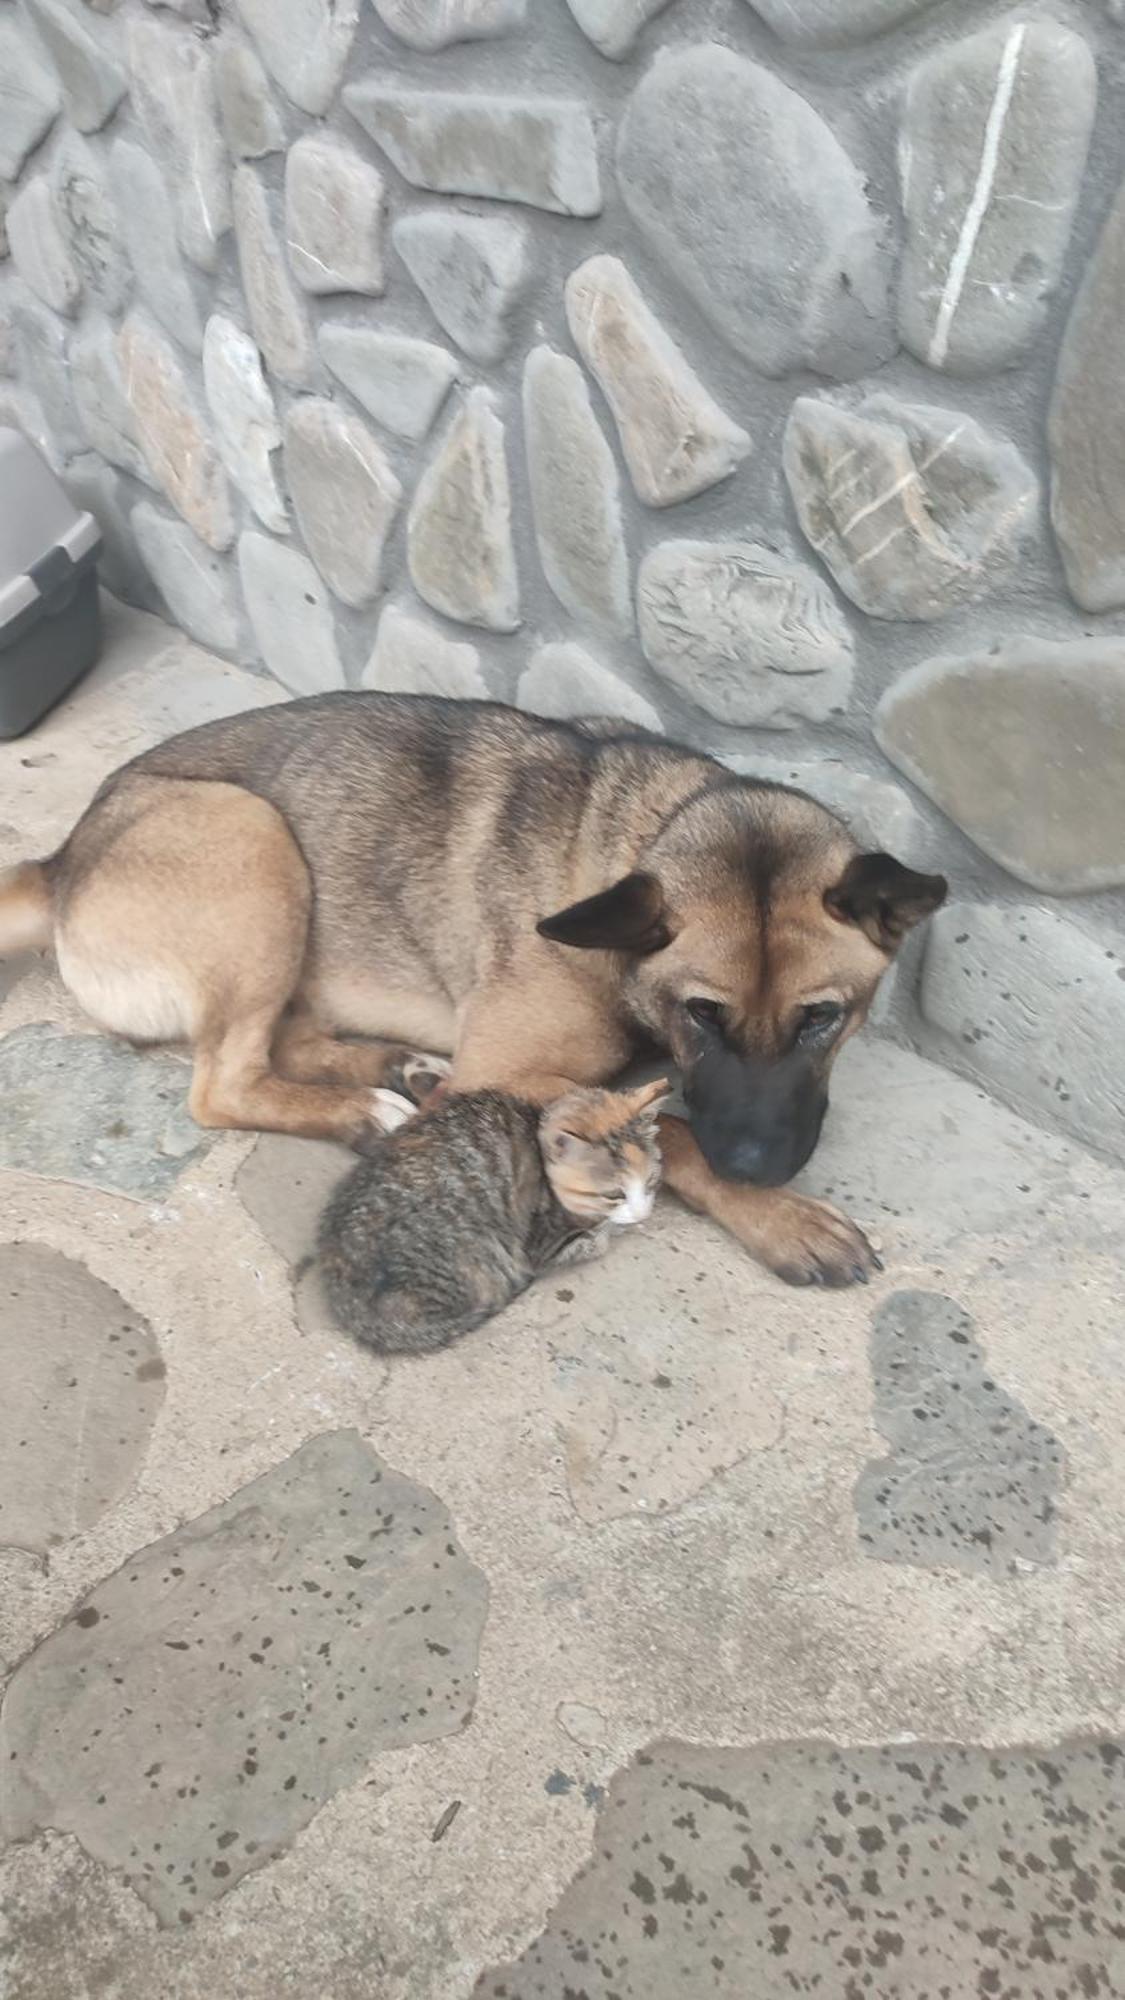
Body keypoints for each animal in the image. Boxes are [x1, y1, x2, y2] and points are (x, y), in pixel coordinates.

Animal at [0, 688, 940, 1280]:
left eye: (821, 1020)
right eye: (700, 1015)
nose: (753, 1169)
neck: (626, 843)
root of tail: (61, 861)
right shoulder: (509, 1069)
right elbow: (669, 1131)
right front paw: (780, 1219)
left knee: (288, 1045)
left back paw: (401, 1071)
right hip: (252, 834)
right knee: (224, 1084)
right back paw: (365, 1109)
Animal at [316, 1072, 664, 1352]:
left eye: (650, 1181)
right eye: (614, 1194)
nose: (642, 1215)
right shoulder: (542, 1243)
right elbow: (591, 1241)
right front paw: (608, 1229)